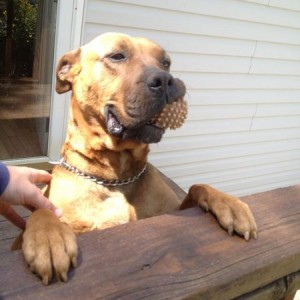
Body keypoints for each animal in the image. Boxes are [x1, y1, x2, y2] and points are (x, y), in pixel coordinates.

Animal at [21, 33, 256, 286]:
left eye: (166, 62)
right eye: (117, 56)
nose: (165, 79)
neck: (117, 177)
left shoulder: (172, 209)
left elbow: (196, 187)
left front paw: (230, 203)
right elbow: (42, 210)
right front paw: (48, 236)